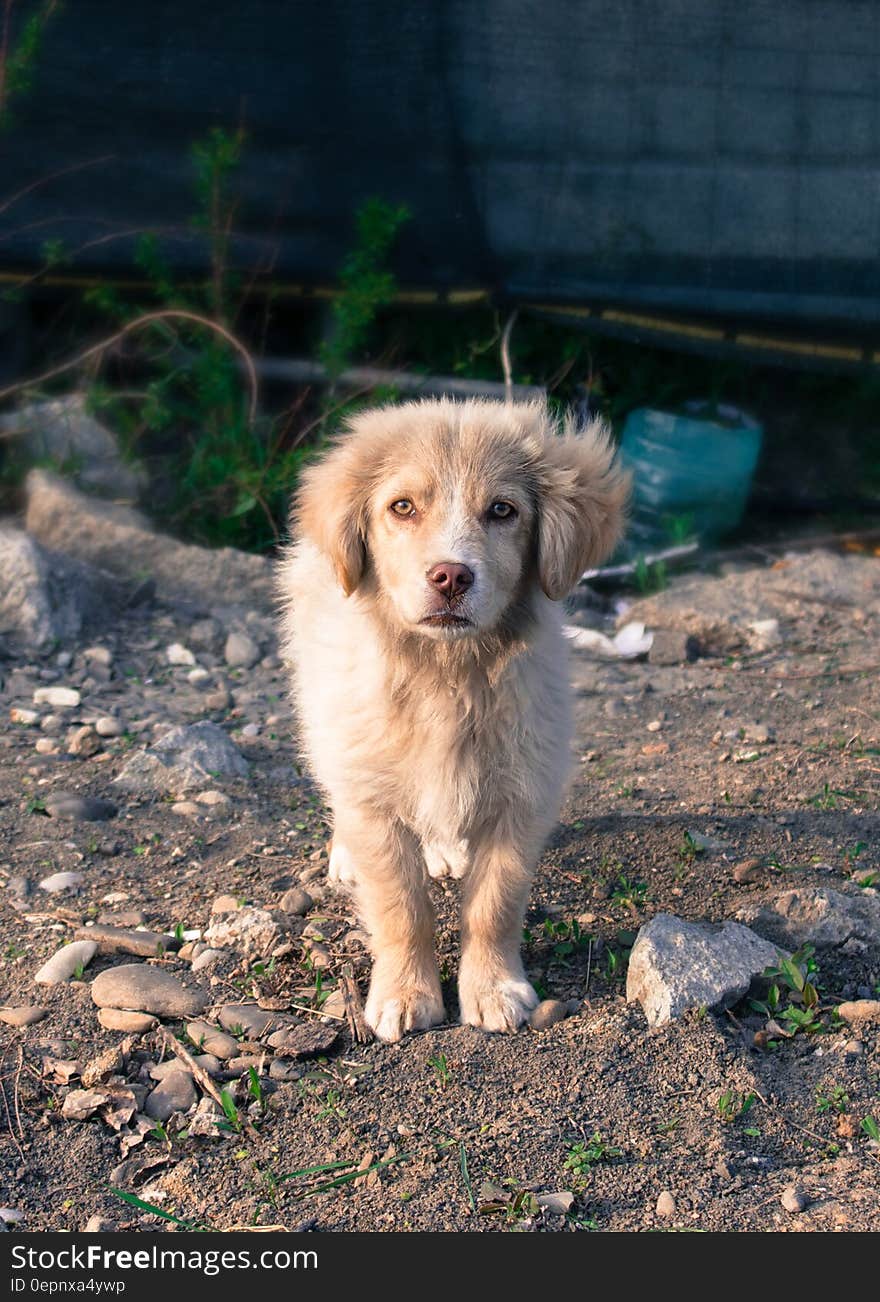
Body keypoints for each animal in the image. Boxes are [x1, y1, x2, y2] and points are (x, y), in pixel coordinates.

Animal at [278, 395, 630, 1036]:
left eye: (502, 510)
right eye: (402, 507)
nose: (450, 576)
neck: (446, 675)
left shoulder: (523, 793)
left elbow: (495, 905)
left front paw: (492, 989)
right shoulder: (373, 793)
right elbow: (401, 907)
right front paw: (405, 993)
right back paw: (345, 856)